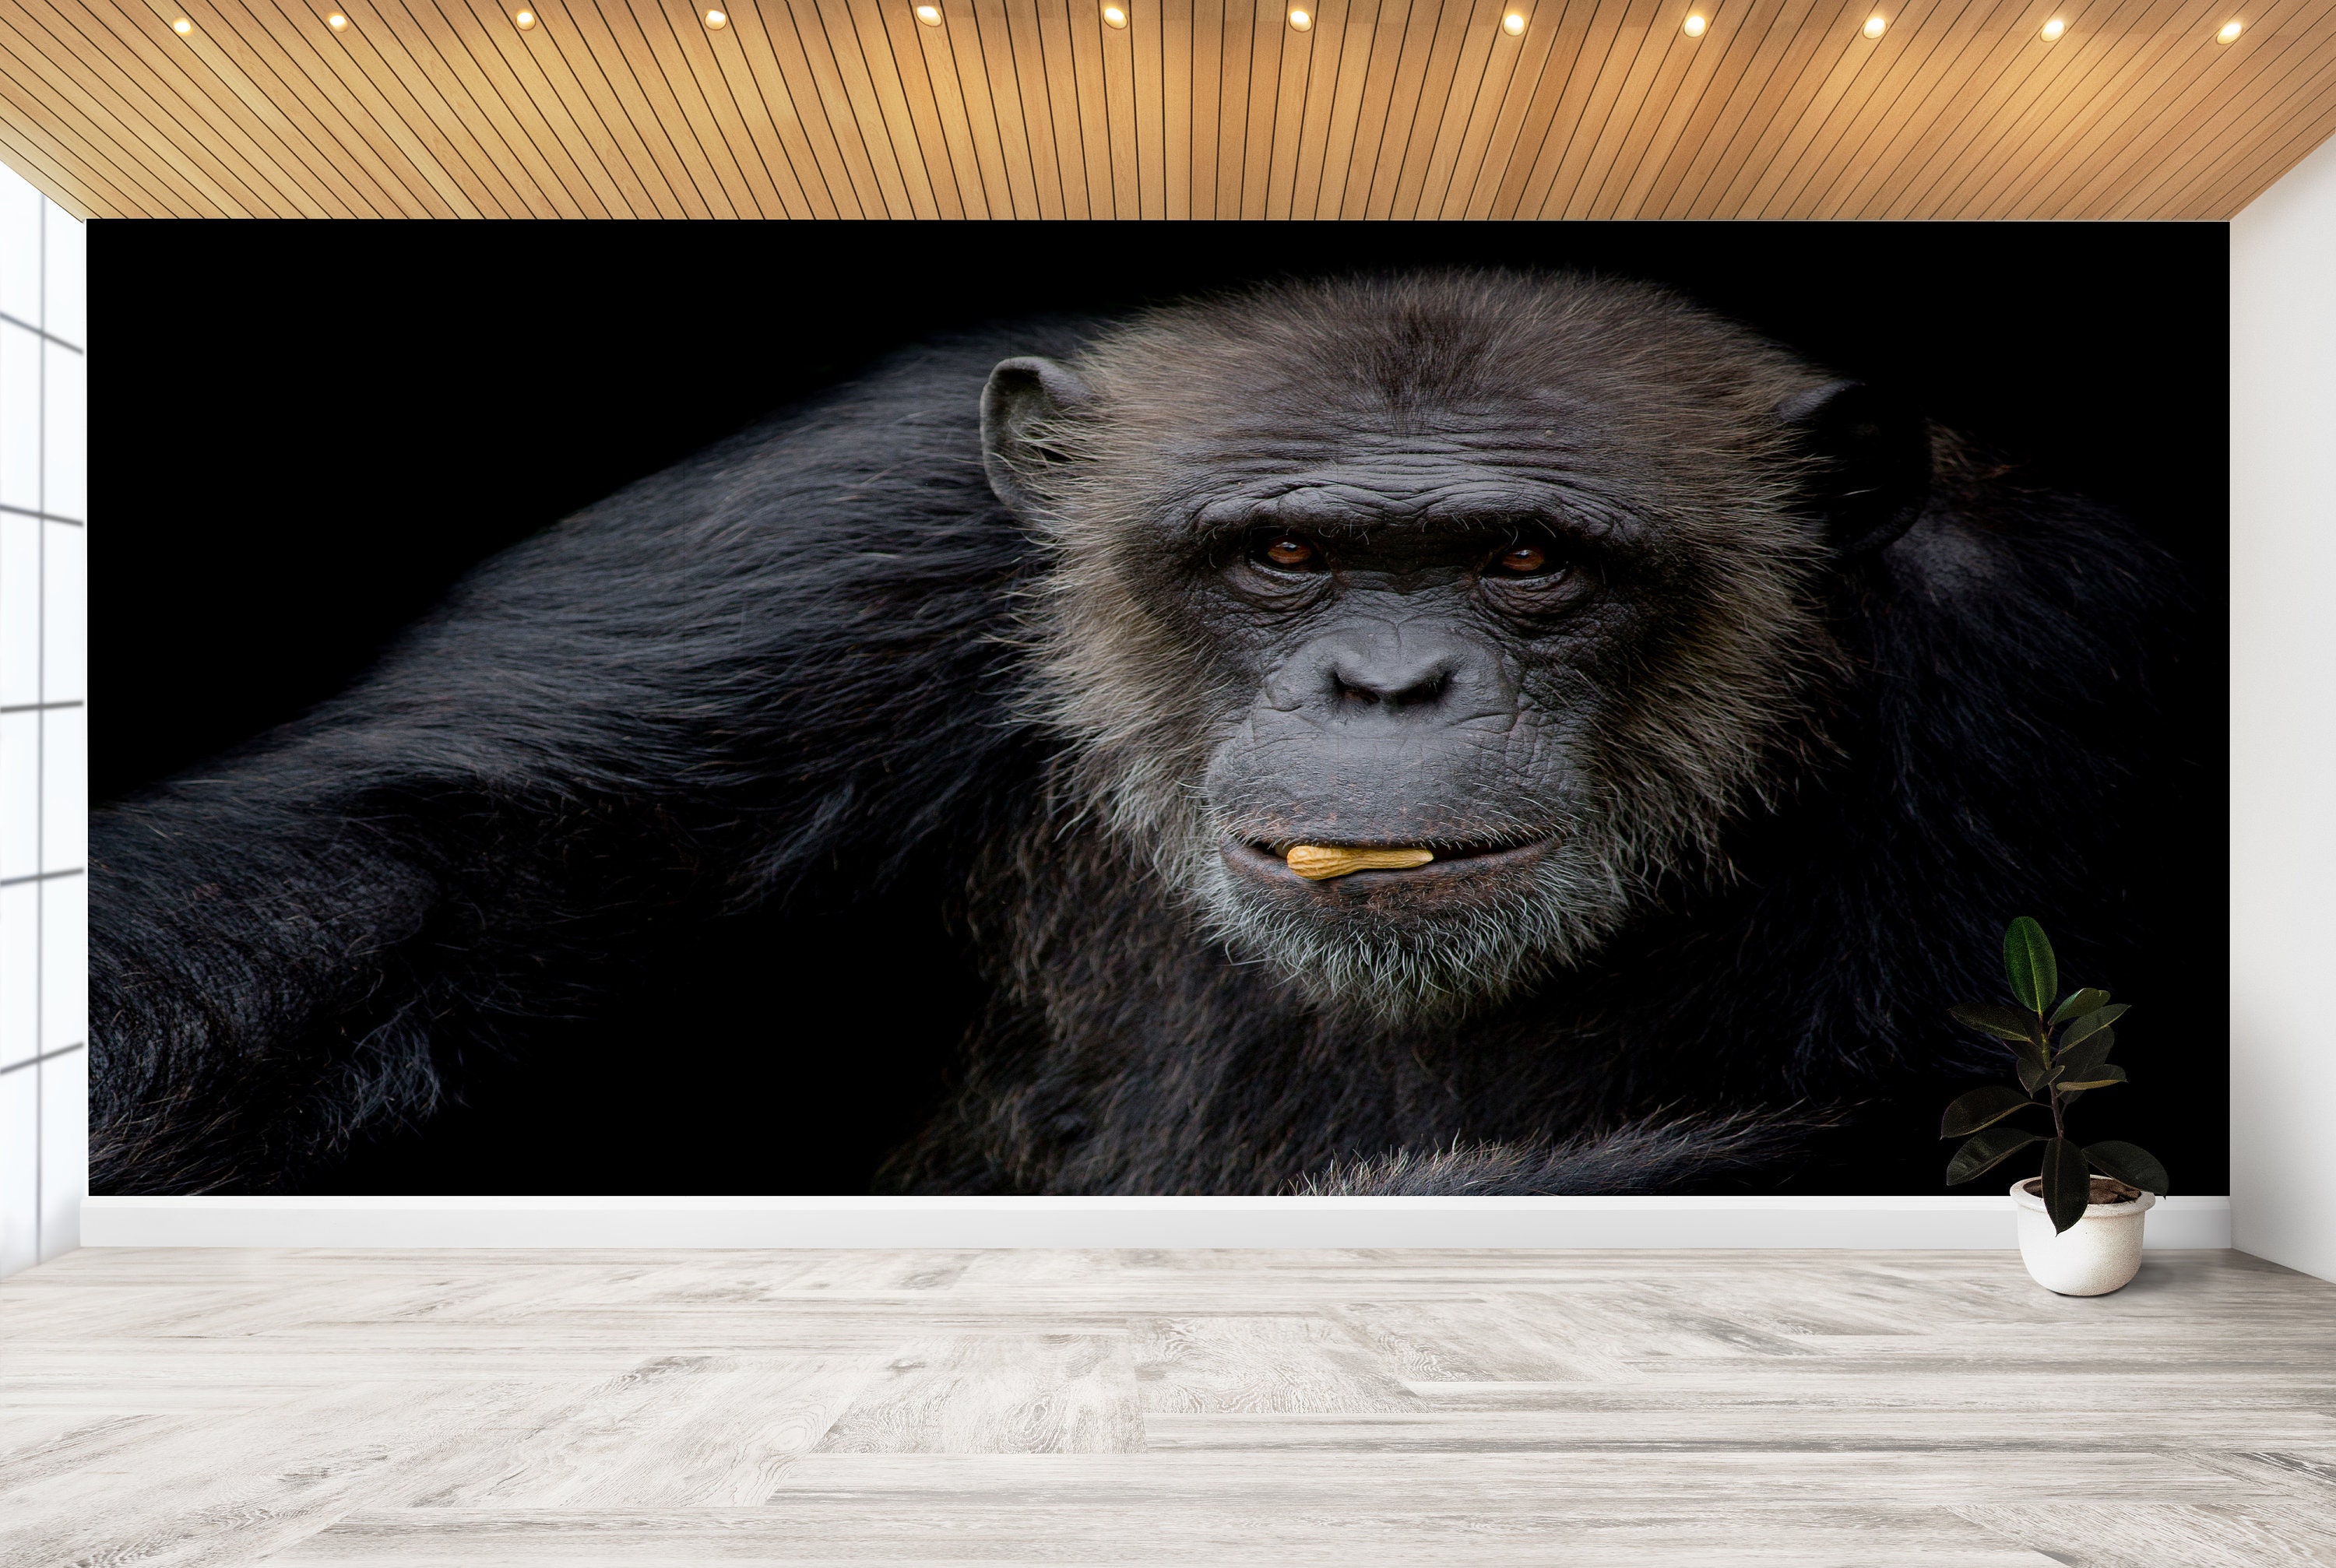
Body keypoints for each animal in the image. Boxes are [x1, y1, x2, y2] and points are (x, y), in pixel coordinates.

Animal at [88, 271, 2182, 1197]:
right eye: (1279, 551)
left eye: (1526, 558)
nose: (1385, 683)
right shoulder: (858, 523)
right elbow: (411, 862)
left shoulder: (2054, 669)